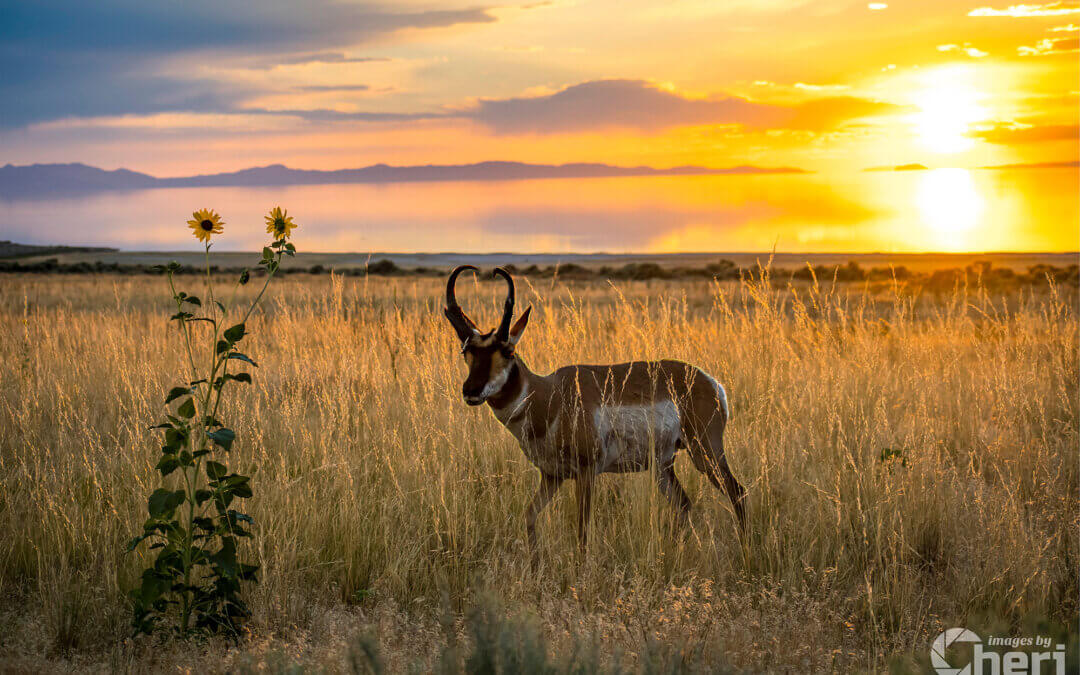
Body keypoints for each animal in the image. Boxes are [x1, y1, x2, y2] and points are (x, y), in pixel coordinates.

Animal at [442, 265, 747, 557]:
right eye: (466, 352)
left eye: (507, 351)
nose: (470, 390)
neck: (549, 395)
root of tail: (709, 381)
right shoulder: (551, 476)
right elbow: (529, 517)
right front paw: (535, 564)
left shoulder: (587, 473)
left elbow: (582, 530)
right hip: (662, 466)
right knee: (683, 503)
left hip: (705, 453)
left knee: (738, 492)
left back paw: (745, 551)